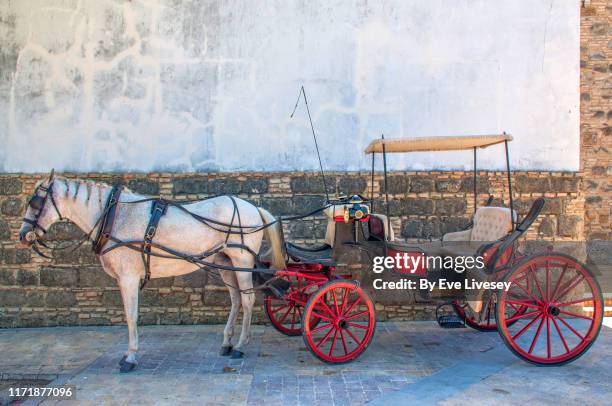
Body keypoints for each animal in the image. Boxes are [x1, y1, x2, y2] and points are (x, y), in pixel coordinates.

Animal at [18, 171, 286, 372]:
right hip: (227, 263)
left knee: (248, 300)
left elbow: (131, 316)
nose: (23, 235)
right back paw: (227, 343)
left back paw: (240, 346)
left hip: (242, 260)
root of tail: (254, 207)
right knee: (236, 300)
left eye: (35, 202)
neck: (113, 216)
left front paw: (130, 357)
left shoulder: (127, 278)